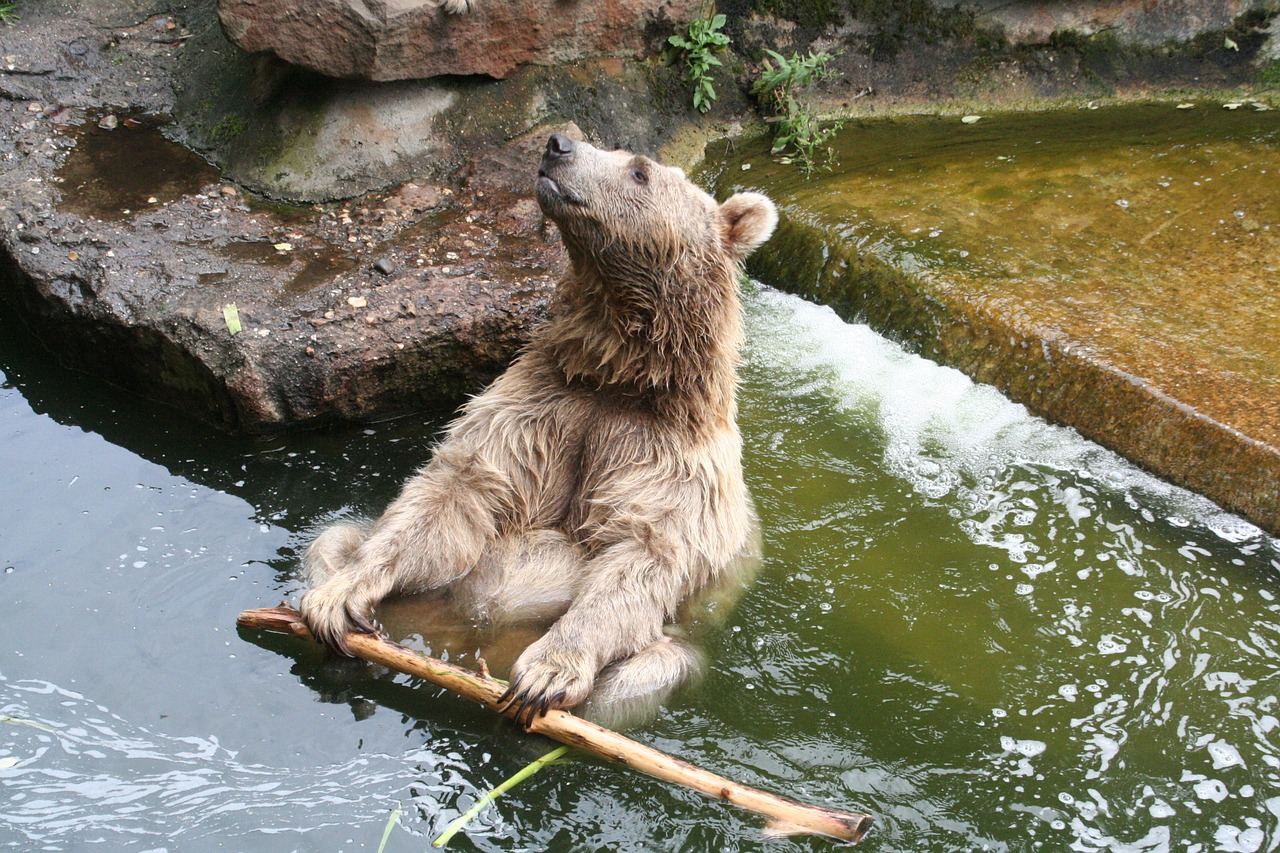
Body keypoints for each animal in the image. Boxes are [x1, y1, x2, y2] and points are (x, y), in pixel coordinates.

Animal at [299, 133, 773, 722]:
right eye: (615, 152)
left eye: (640, 171)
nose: (559, 144)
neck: (618, 377)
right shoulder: (537, 413)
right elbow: (452, 497)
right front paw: (340, 598)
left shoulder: (667, 461)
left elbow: (642, 555)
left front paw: (546, 673)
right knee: (334, 537)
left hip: (662, 654)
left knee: (646, 672)